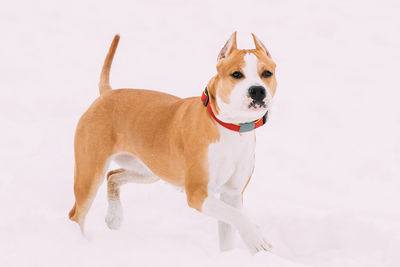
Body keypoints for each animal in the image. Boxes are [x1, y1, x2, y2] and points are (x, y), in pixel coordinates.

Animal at [69, 32, 276, 254]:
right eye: (236, 74)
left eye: (267, 73)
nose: (257, 91)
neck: (231, 128)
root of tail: (107, 93)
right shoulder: (197, 194)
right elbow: (237, 216)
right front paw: (257, 238)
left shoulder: (232, 194)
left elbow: (230, 227)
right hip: (89, 174)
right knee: (77, 214)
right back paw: (79, 243)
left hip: (149, 170)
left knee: (113, 176)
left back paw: (114, 218)